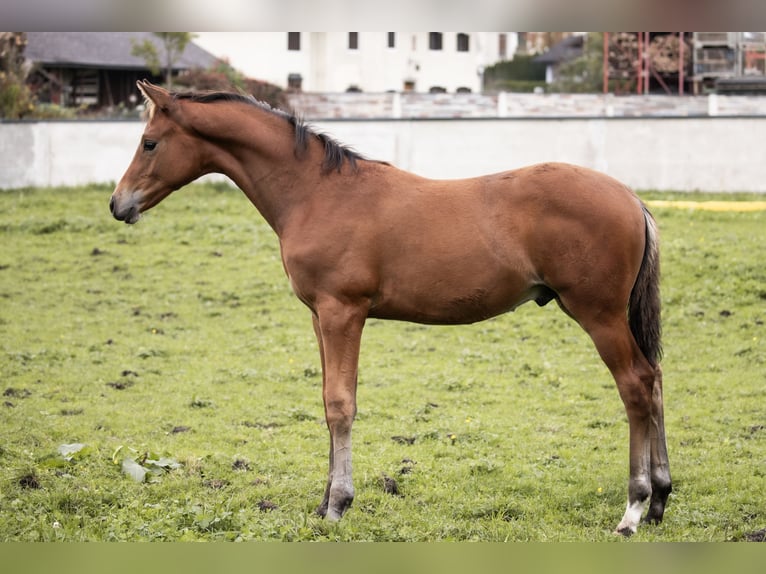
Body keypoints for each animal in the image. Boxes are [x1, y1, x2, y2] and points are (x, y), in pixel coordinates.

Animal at [109, 81, 672, 540]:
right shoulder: (318, 316)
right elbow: (326, 401)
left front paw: (338, 505)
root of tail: (632, 199)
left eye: (149, 142)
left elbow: (341, 404)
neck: (317, 193)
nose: (119, 204)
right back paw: (661, 499)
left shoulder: (343, 313)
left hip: (597, 314)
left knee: (636, 385)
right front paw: (323, 503)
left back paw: (633, 509)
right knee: (655, 380)